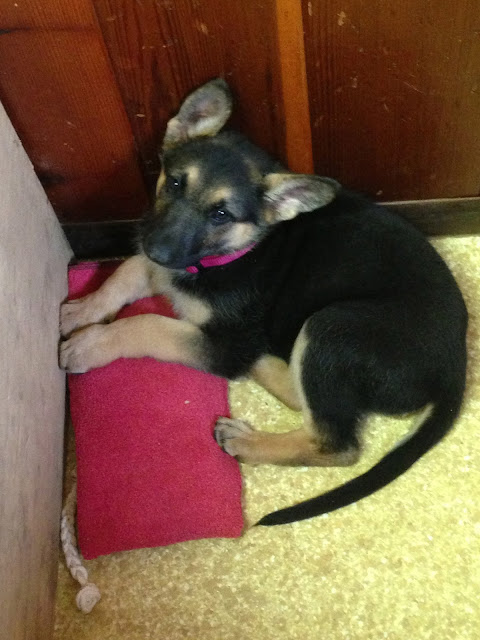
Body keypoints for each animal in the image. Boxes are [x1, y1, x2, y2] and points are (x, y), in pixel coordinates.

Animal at [60, 79, 468, 526]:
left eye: (220, 214)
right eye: (175, 183)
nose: (157, 249)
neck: (236, 252)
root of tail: (457, 365)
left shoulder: (223, 340)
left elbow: (146, 324)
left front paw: (90, 343)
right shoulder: (163, 270)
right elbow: (124, 273)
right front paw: (82, 309)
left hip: (332, 326)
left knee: (336, 443)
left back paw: (247, 439)